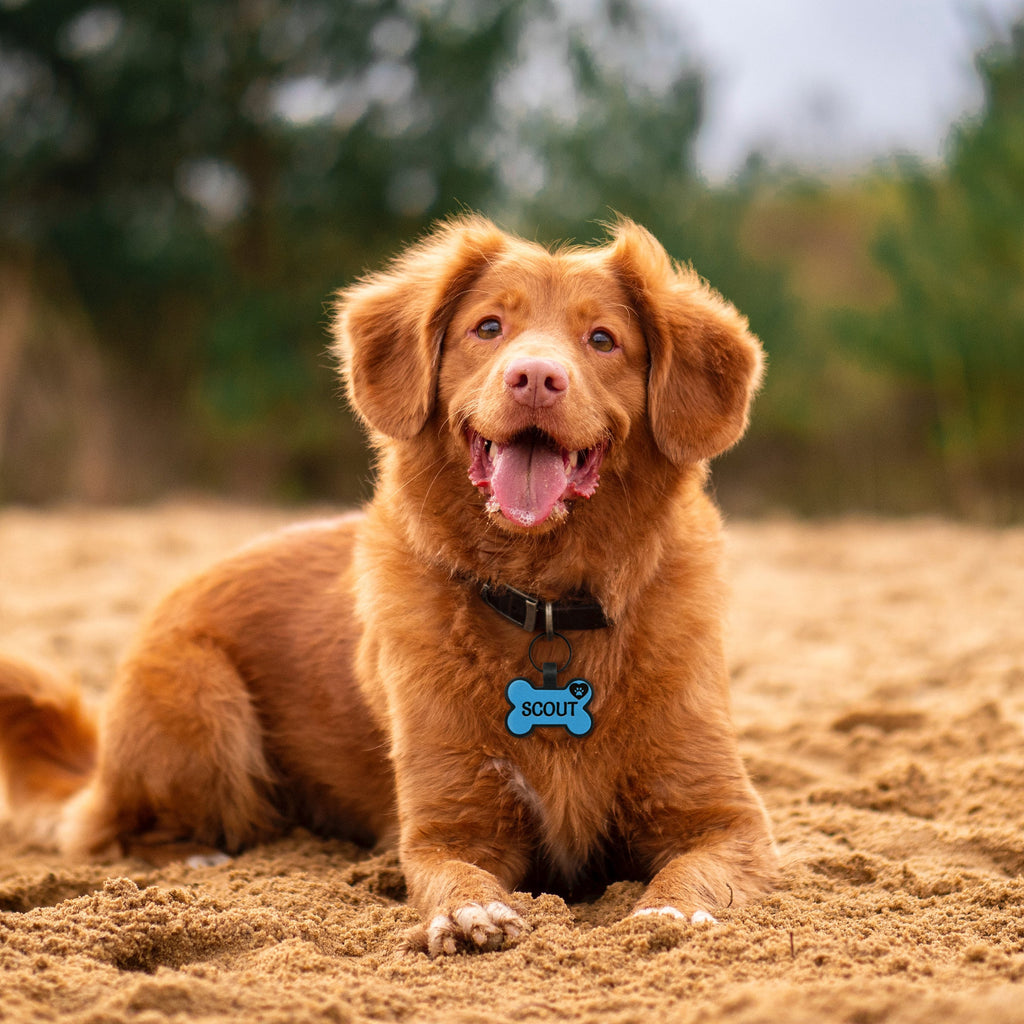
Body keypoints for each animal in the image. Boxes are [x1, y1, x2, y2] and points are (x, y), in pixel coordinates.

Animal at [0, 214, 774, 950]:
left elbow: (694, 873)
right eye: (488, 328)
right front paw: (468, 913)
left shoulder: (726, 818)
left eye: (604, 339)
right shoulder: (448, 825)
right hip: (203, 701)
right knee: (114, 832)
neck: (548, 602)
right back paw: (201, 858)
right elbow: (452, 873)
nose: (534, 378)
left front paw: (669, 914)